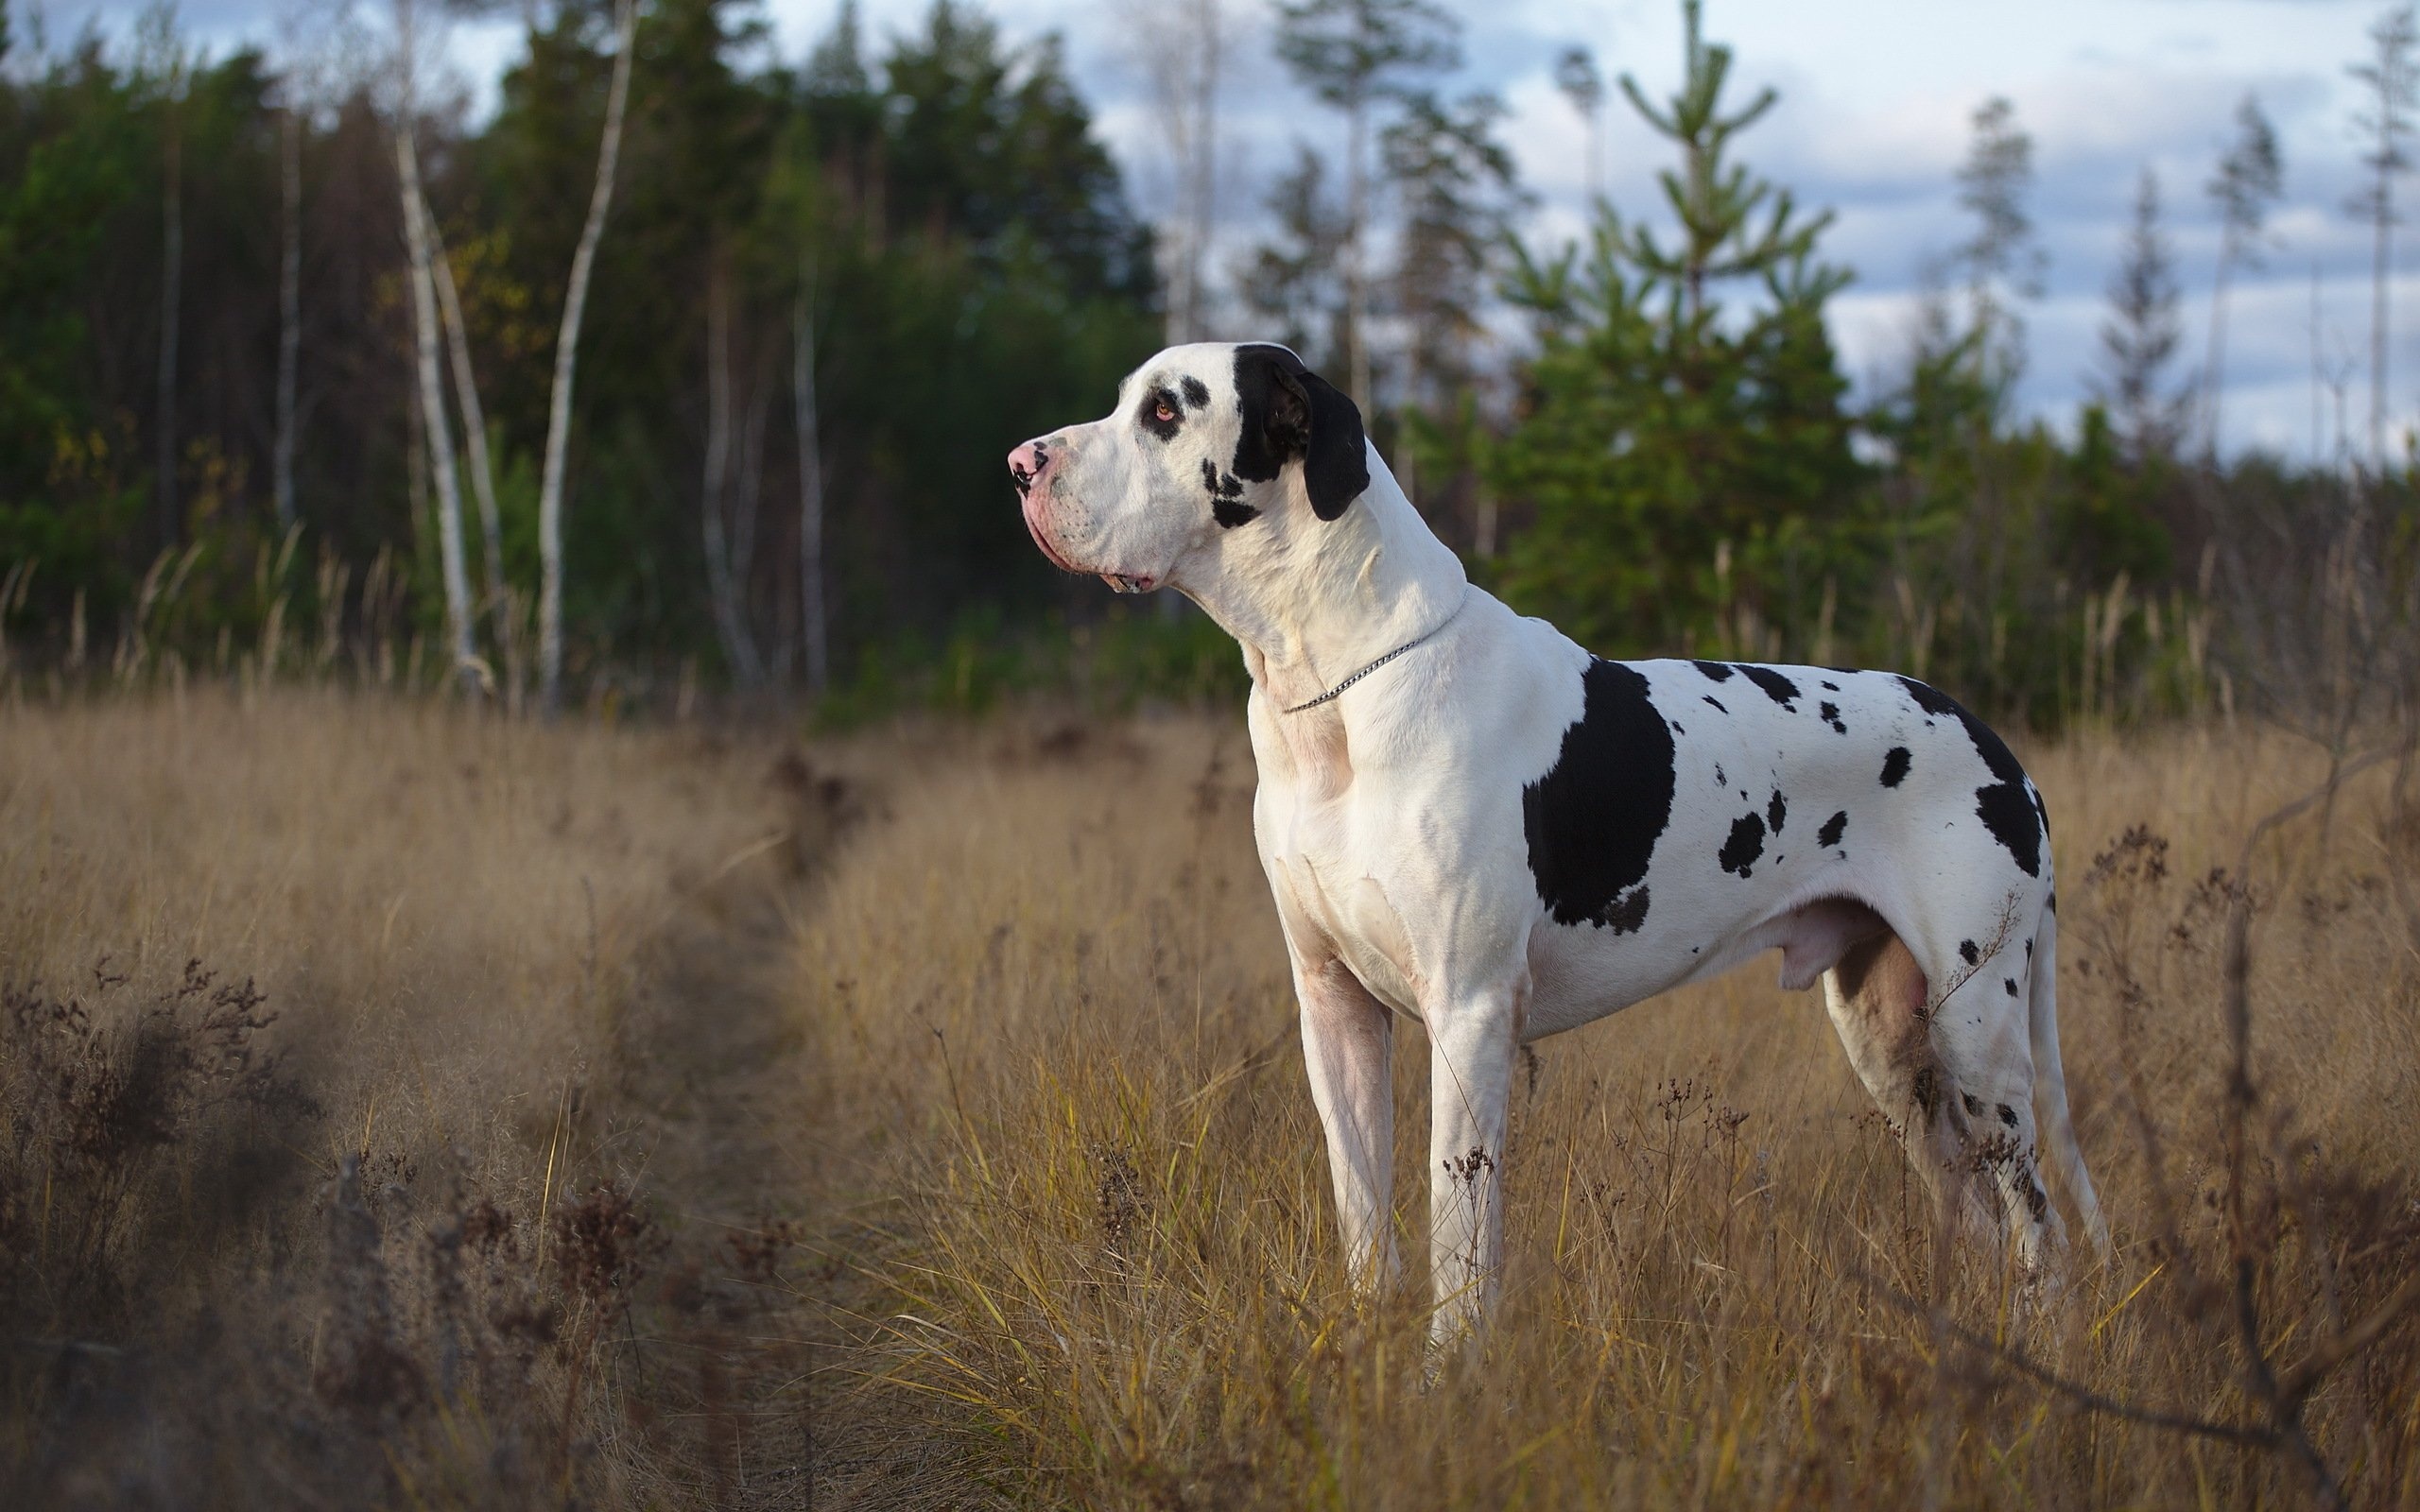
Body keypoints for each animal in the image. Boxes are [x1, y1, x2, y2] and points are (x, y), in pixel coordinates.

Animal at [1001, 346, 2100, 1345]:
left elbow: (1458, 1232)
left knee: (2038, 1230)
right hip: (1891, 1048)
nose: (1019, 462)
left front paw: (1447, 1378)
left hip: (1979, 1038)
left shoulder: (1469, 1015)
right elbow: (1363, 1211)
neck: (1339, 690)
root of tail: (1998, 745)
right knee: (1977, 1218)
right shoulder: (1335, 1007)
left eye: (1164, 411)